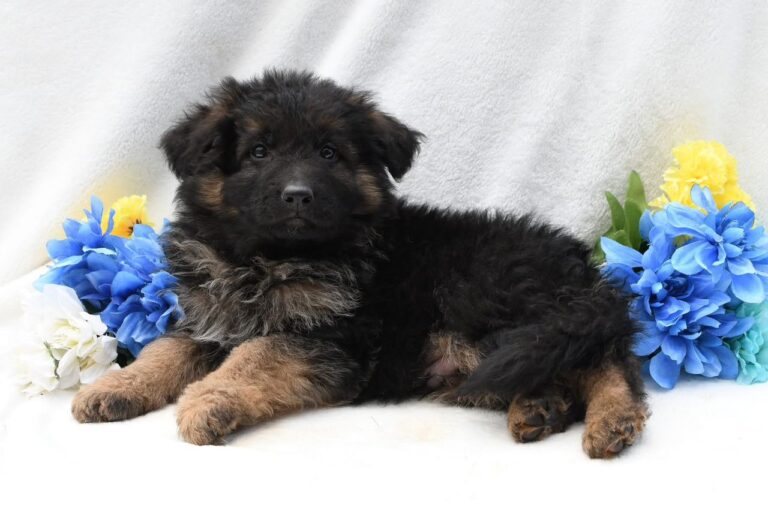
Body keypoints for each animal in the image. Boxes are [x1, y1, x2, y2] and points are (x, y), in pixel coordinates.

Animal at [71, 70, 648, 458]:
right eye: (259, 152)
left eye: (329, 153)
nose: (297, 196)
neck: (268, 258)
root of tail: (583, 268)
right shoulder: (210, 320)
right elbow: (164, 351)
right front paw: (112, 389)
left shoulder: (330, 337)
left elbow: (257, 354)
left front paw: (207, 402)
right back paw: (538, 409)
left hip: (489, 297)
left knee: (604, 358)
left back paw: (612, 419)